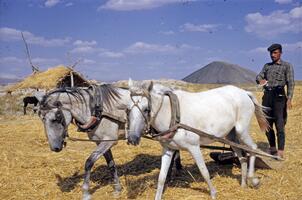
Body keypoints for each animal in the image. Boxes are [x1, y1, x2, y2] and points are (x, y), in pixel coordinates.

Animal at [126, 80, 272, 200]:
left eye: (146, 109)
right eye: (127, 110)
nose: (132, 139)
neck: (172, 114)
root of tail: (244, 92)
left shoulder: (194, 147)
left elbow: (204, 171)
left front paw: (213, 193)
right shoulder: (168, 149)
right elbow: (161, 177)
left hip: (242, 130)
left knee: (253, 148)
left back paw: (253, 179)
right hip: (231, 136)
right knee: (242, 157)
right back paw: (243, 184)